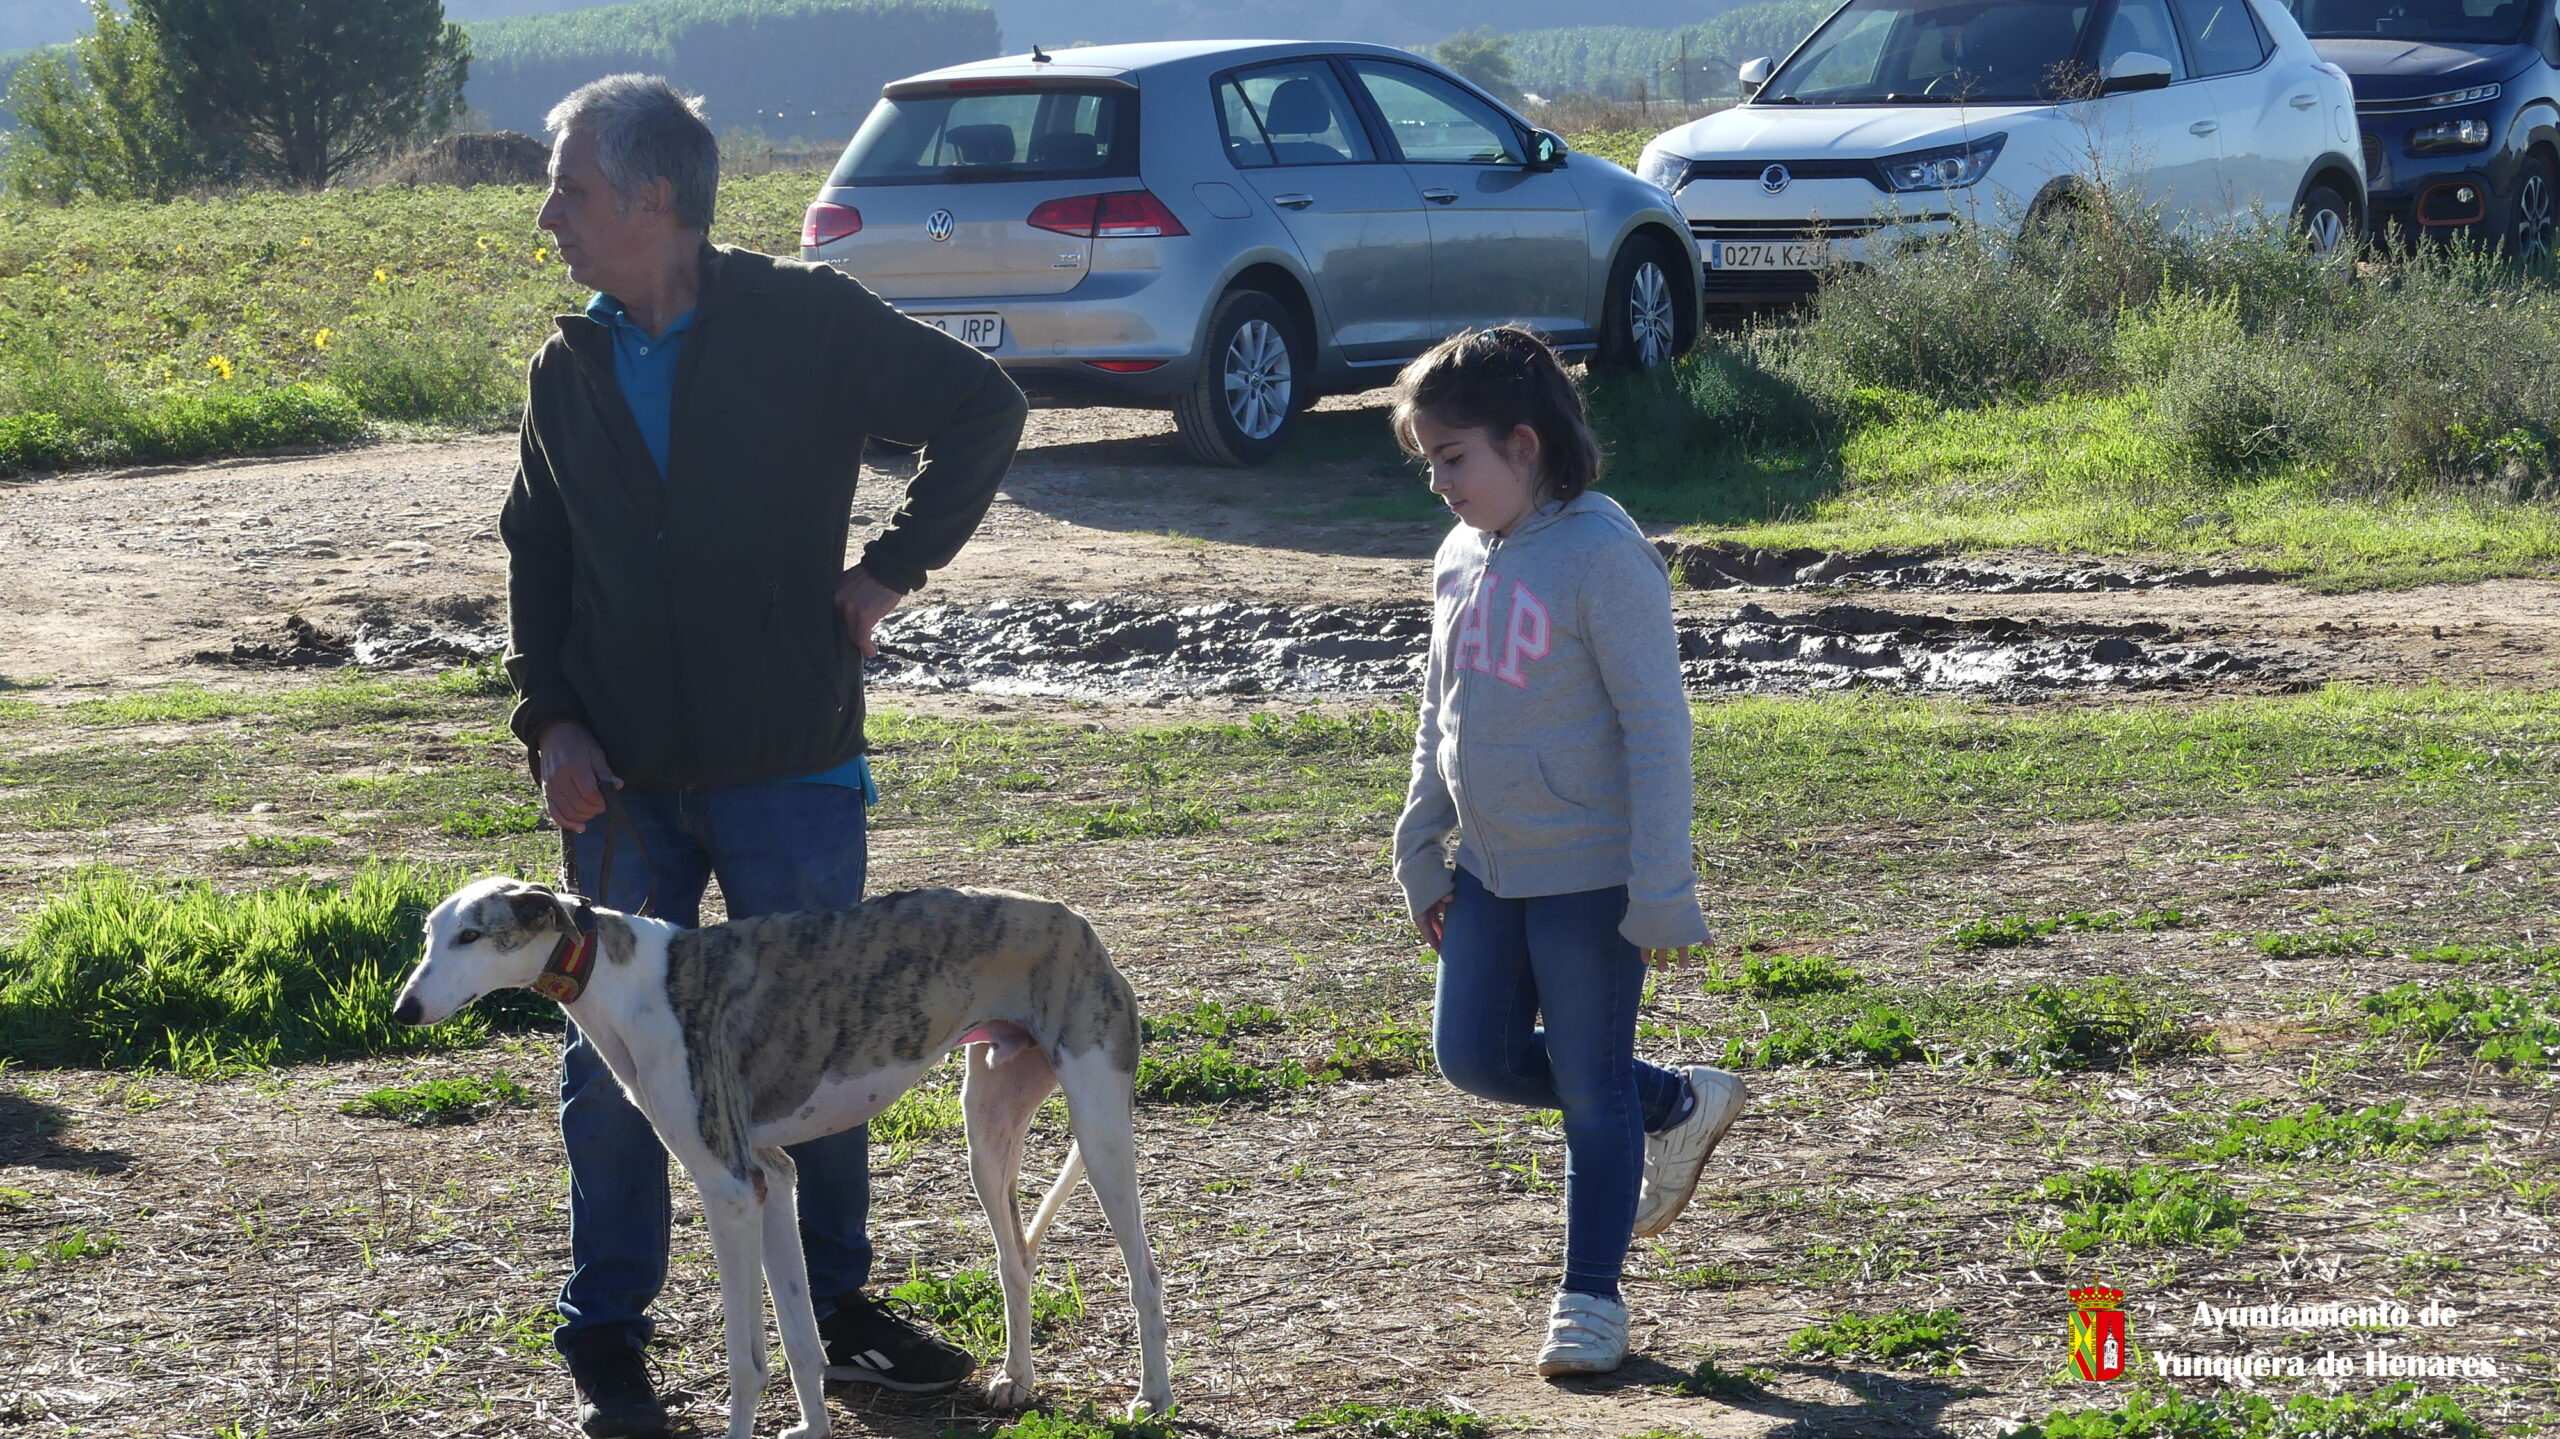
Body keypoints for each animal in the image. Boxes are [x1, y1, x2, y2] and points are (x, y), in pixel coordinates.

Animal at [391, 877, 1173, 1439]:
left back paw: (1152, 1397)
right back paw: (1017, 1380)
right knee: (1016, 1259)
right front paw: (811, 1426)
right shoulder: (771, 1177)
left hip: (1100, 1130)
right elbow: (800, 1336)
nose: (404, 1010)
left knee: (1145, 1270)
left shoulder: (729, 1188)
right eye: (431, 934)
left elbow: (747, 1357)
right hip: (986, 1129)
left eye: (473, 934)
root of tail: (1075, 917)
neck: (626, 981)